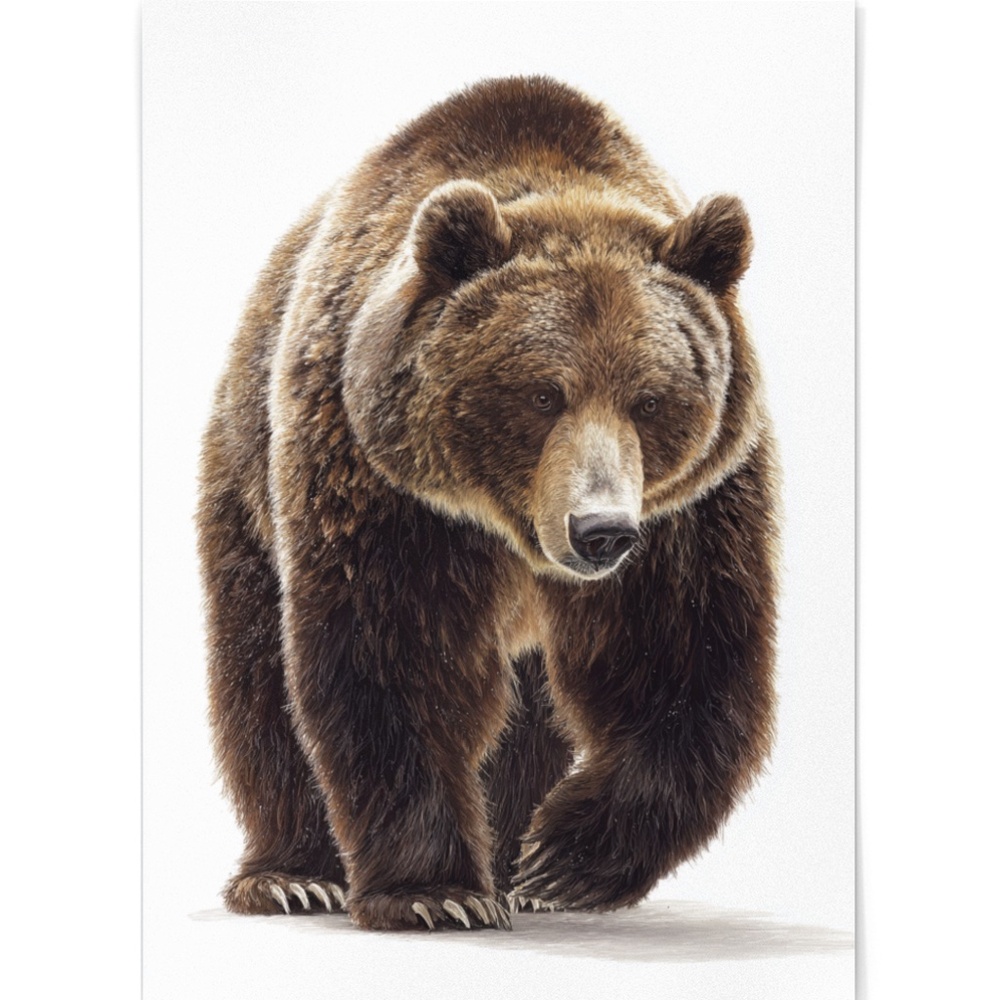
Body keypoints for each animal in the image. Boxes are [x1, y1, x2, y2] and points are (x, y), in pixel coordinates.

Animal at [197, 75, 779, 932]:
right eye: (542, 394)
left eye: (650, 399)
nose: (600, 532)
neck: (511, 527)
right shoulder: (387, 490)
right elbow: (395, 654)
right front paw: (431, 891)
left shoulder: (688, 511)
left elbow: (680, 656)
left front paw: (562, 862)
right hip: (248, 479)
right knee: (257, 677)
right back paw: (290, 876)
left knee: (530, 711)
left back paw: (510, 867)